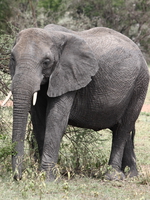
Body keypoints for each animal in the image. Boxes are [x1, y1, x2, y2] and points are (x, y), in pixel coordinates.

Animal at [9, 23, 149, 181]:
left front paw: (48, 178)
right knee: (123, 129)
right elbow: (38, 120)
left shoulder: (69, 77)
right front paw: (43, 175)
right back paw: (132, 176)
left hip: (140, 85)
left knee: (123, 128)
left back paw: (113, 177)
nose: (18, 177)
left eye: (46, 62)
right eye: (12, 58)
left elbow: (56, 120)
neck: (53, 35)